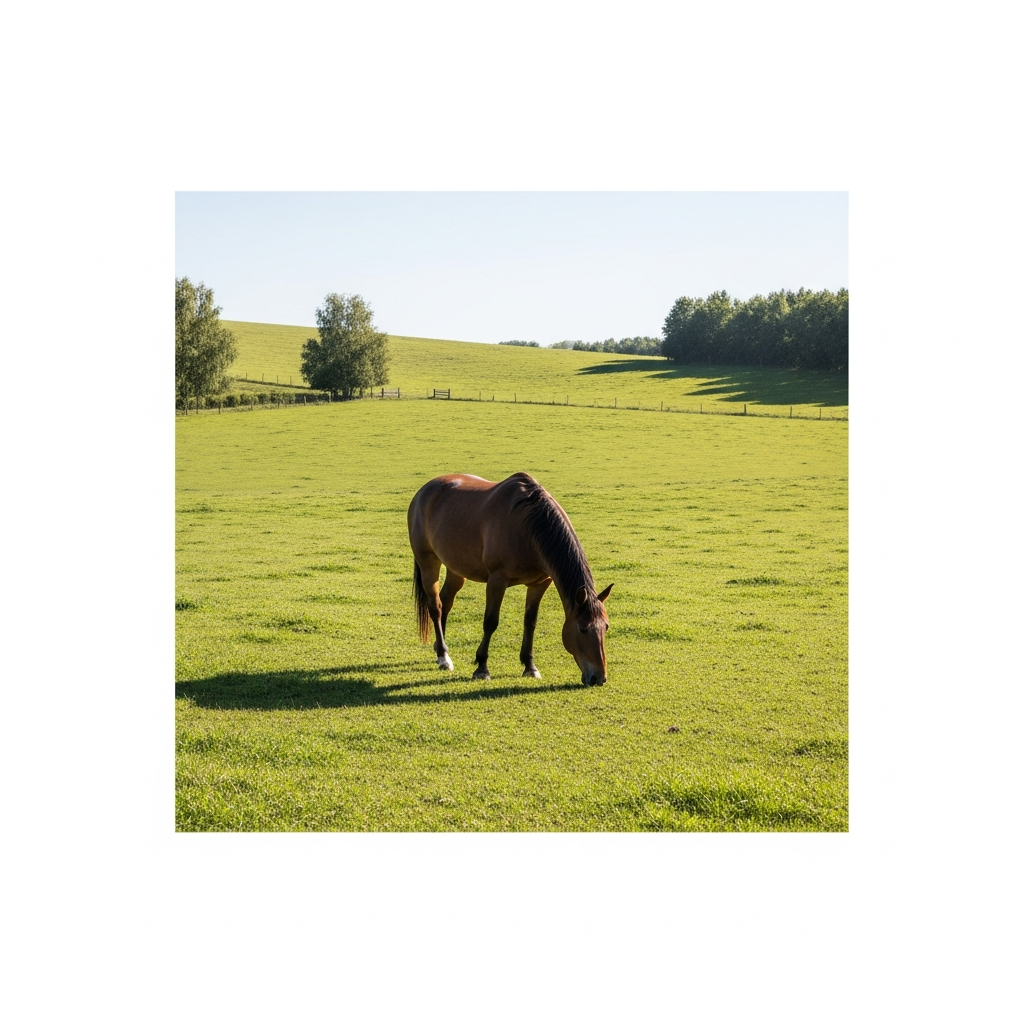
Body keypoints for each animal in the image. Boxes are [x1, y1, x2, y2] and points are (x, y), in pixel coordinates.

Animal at [407, 472, 613, 686]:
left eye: (605, 627)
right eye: (582, 629)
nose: (599, 678)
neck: (527, 526)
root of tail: (425, 490)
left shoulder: (540, 583)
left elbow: (530, 622)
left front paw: (530, 666)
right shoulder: (497, 580)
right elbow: (490, 622)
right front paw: (482, 668)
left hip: (456, 568)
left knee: (446, 602)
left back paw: (442, 649)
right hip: (428, 563)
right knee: (436, 607)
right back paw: (443, 657)